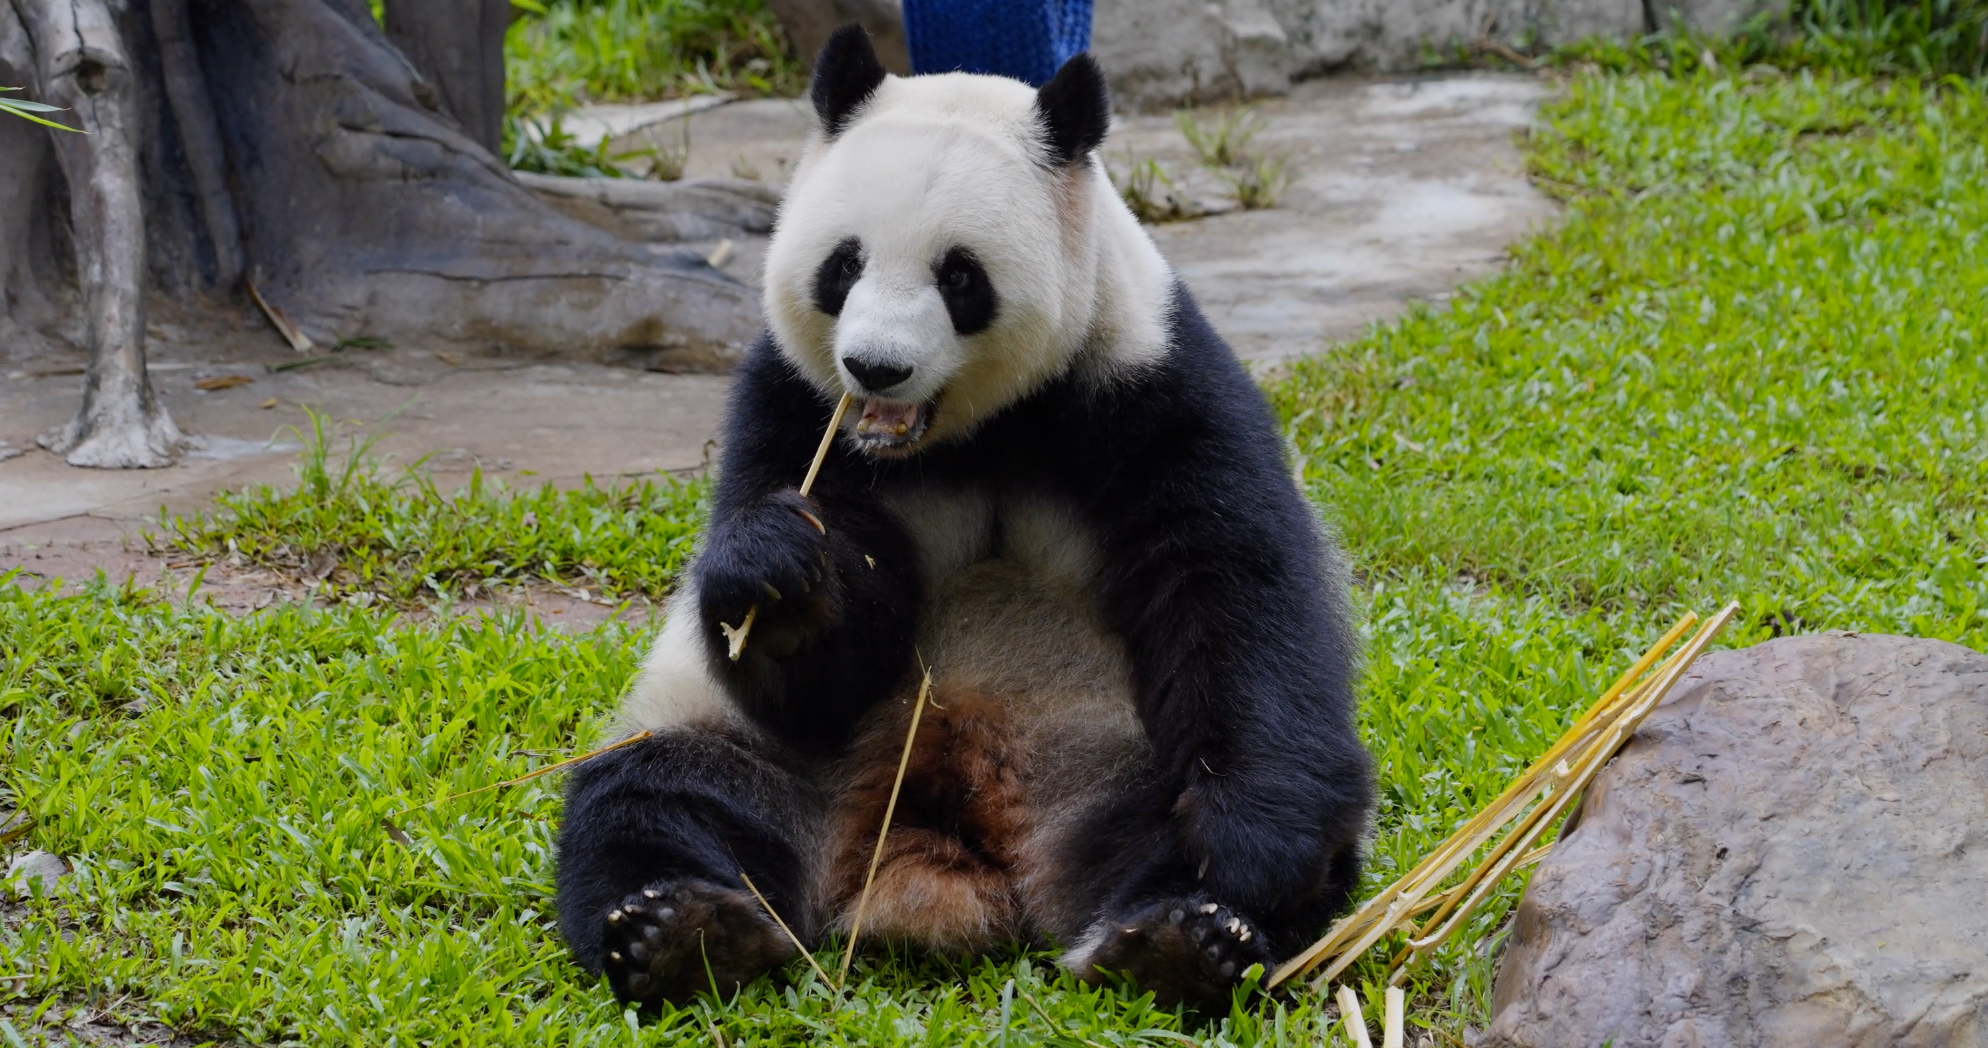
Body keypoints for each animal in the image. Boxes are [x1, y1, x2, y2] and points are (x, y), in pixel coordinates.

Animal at [555, 26, 1373, 1012]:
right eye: (844, 264)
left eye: (959, 275)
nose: (875, 367)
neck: (961, 432)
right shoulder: (789, 407)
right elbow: (814, 670)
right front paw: (777, 574)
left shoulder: (1151, 386)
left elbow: (1234, 589)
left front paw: (1242, 851)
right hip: (770, 762)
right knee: (656, 796)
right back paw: (684, 929)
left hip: (1108, 748)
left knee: (1185, 827)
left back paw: (1182, 935)